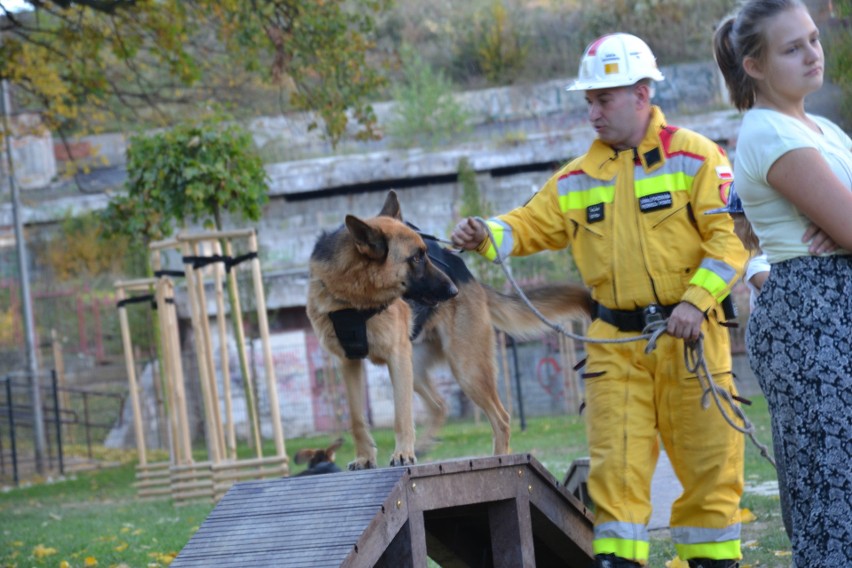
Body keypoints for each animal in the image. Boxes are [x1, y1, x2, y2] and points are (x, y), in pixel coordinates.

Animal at [306, 191, 592, 470]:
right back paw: (425, 445)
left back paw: (497, 460)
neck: (353, 297)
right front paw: (366, 457)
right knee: (440, 406)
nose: (453, 291)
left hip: (465, 368)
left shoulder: (396, 357)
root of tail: (467, 276)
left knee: (501, 418)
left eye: (425, 253)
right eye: (416, 258)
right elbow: (357, 419)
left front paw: (402, 454)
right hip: (416, 368)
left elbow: (402, 415)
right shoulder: (349, 363)